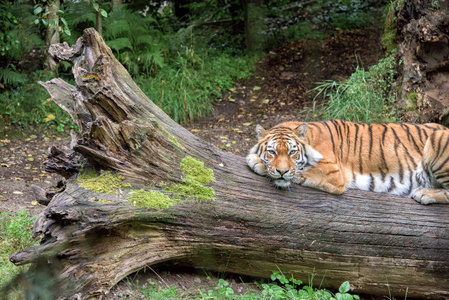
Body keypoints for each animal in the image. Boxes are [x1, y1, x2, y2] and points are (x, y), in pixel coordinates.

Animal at [247, 119, 449, 204]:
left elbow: (299, 172)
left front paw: (254, 160)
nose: (281, 172)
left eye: (292, 152)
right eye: (272, 152)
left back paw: (424, 194)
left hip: (437, 139)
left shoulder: (334, 174)